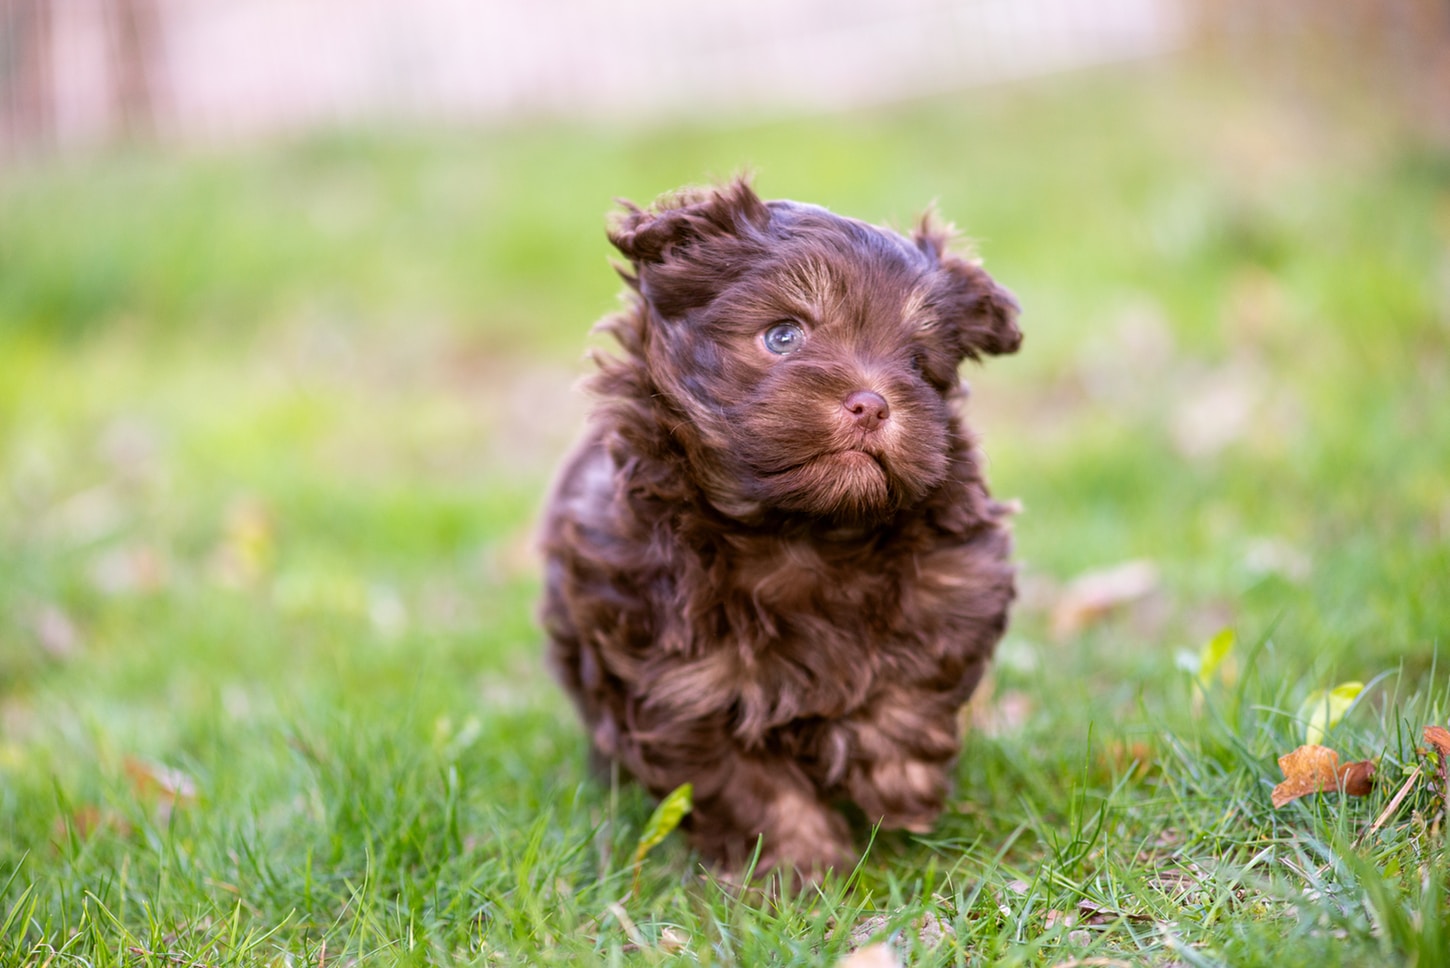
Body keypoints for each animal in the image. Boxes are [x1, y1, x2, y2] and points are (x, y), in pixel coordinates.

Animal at [539, 179, 1026, 875]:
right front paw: (804, 868)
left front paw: (896, 782)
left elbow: (912, 681)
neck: (801, 531)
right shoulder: (678, 682)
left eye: (917, 362)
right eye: (783, 336)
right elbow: (751, 786)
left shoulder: (958, 580)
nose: (872, 403)